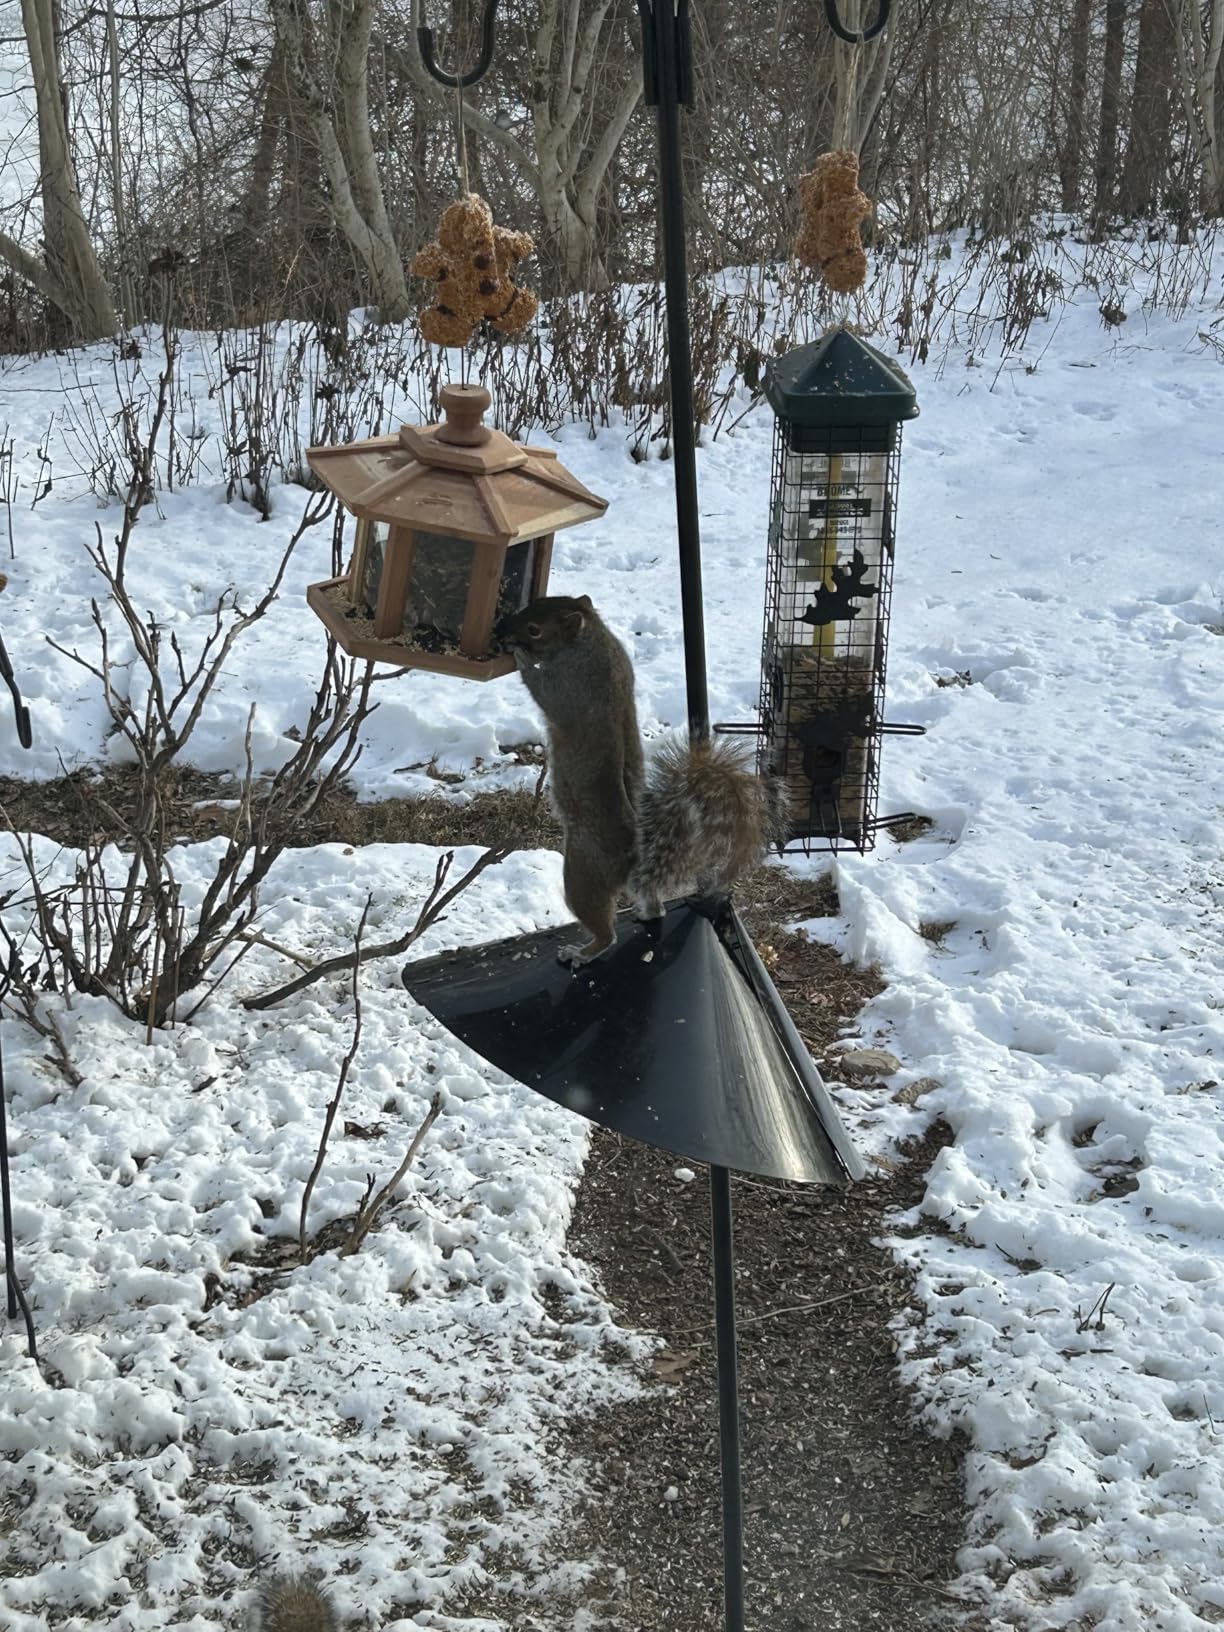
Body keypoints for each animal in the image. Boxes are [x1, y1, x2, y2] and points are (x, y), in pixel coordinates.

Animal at [501, 594, 785, 965]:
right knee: (654, 905)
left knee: (602, 928)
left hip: (582, 872)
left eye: (535, 629)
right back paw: (646, 912)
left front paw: (521, 660)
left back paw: (583, 951)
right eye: (534, 602)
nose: (504, 628)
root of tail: (635, 861)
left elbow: (545, 693)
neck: (594, 639)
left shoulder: (572, 684)